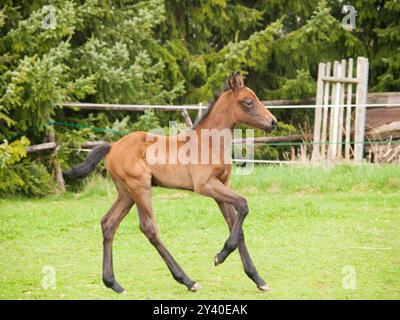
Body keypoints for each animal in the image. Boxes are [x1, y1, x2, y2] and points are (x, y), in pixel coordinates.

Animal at [65, 72, 278, 292]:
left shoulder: (221, 186)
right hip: (140, 188)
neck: (209, 142)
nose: (273, 122)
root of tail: (113, 146)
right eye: (248, 102)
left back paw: (113, 283)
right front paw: (220, 256)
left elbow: (236, 224)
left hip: (126, 193)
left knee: (109, 223)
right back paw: (187, 280)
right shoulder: (205, 185)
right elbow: (243, 204)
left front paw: (258, 279)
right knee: (149, 228)